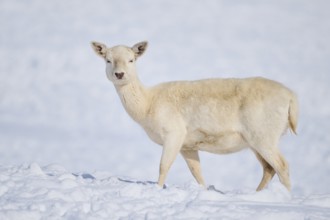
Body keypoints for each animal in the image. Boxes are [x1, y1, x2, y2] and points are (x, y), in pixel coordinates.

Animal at [91, 40, 300, 191]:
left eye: (131, 59)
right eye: (108, 60)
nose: (119, 74)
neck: (147, 106)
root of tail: (291, 98)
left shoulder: (174, 132)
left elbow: (163, 165)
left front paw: (157, 190)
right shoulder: (188, 145)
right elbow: (196, 172)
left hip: (263, 135)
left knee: (282, 166)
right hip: (255, 141)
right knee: (269, 168)